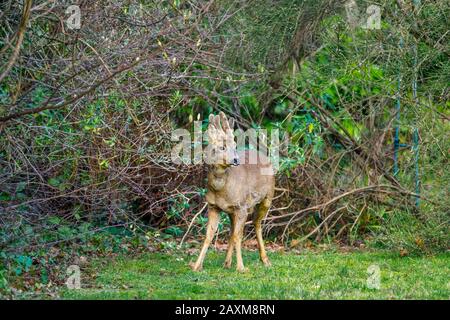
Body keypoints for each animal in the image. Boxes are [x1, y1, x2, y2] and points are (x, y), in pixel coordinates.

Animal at [189, 112, 274, 272]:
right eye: (222, 147)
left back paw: (265, 260)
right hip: (231, 211)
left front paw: (241, 267)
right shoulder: (213, 206)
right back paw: (227, 263)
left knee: (256, 223)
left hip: (267, 197)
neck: (222, 189)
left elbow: (238, 236)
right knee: (232, 231)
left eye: (234, 146)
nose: (236, 159)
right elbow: (209, 235)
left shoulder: (242, 206)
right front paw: (196, 266)